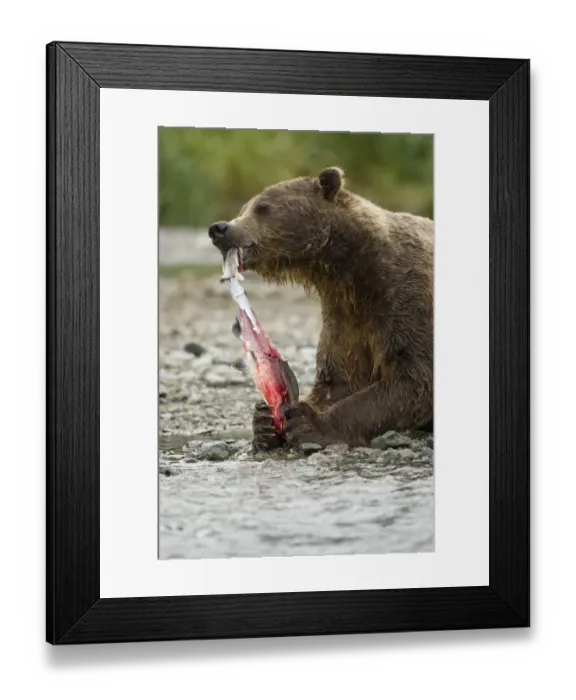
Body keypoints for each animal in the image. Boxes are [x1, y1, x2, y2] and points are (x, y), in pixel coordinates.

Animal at [208, 167, 434, 451]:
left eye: (263, 207)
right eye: (244, 207)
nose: (219, 228)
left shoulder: (407, 299)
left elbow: (413, 379)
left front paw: (310, 425)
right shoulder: (344, 314)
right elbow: (338, 378)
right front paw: (264, 421)